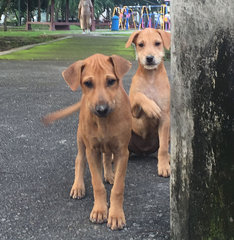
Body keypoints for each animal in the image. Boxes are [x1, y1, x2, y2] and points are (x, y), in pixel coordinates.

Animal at [44, 53, 132, 230]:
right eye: (88, 83)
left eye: (111, 81)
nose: (101, 109)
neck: (104, 122)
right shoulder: (92, 151)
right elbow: (97, 185)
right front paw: (99, 210)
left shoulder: (122, 152)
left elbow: (118, 188)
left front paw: (116, 215)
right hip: (81, 141)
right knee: (79, 160)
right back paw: (78, 186)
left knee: (107, 157)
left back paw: (109, 174)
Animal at [126, 28, 170, 178]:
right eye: (141, 44)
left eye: (157, 43)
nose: (149, 58)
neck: (151, 78)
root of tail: (143, 151)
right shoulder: (134, 112)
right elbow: (139, 95)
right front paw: (151, 107)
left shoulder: (165, 118)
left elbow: (163, 148)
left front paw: (164, 166)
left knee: (162, 147)